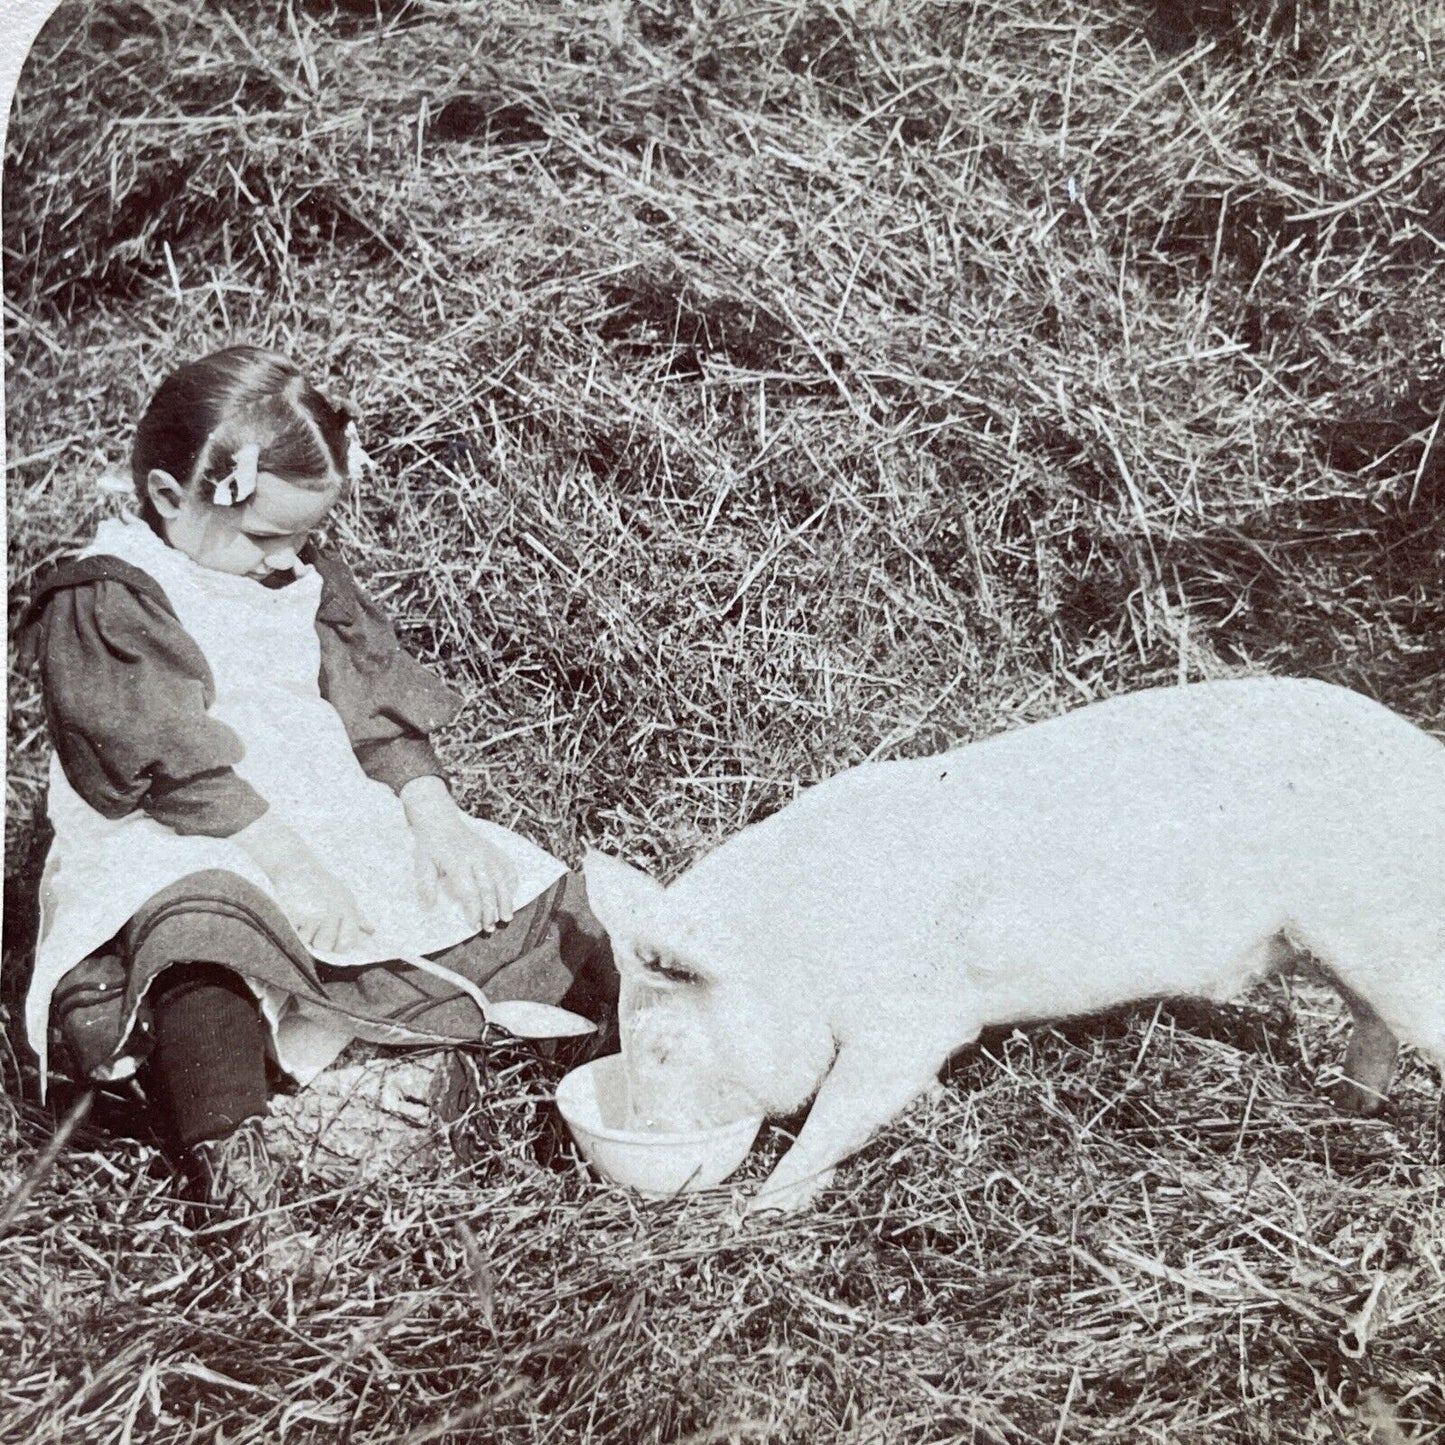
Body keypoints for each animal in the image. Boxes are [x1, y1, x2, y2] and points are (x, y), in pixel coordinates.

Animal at [583, 677, 1445, 1214]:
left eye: (662, 1048)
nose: (650, 1144)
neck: (801, 952)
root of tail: (1423, 757)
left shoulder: (913, 1017)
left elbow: (840, 1108)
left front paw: (757, 1213)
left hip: (1389, 934)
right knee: (1374, 1030)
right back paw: (1347, 1106)